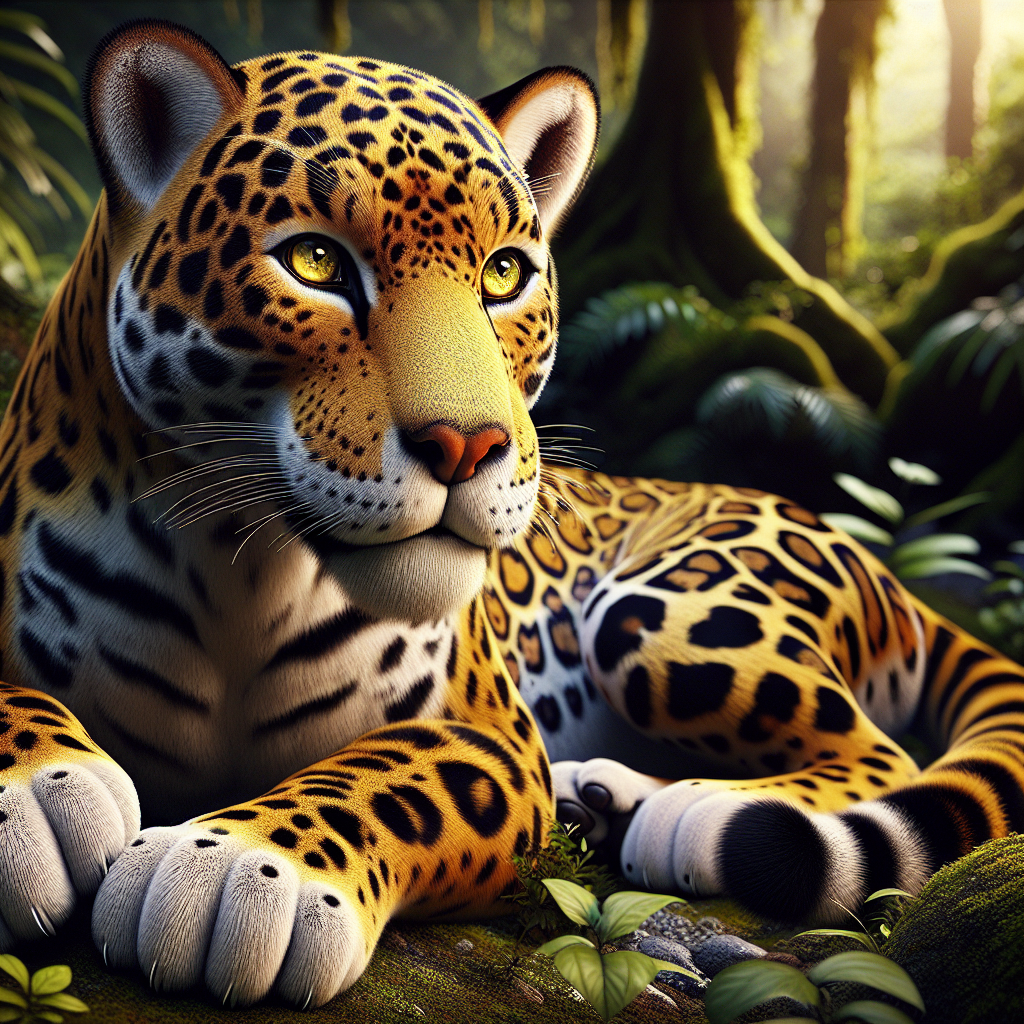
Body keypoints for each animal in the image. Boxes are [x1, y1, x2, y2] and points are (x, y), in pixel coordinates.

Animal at [0, 18, 1020, 1009]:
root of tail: (874, 565)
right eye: (315, 260)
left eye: (502, 274)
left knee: (878, 752)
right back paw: (602, 797)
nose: (467, 446)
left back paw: (686, 814)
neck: (236, 570)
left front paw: (235, 873)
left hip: (670, 614)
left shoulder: (488, 734)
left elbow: (381, 778)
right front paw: (42, 795)